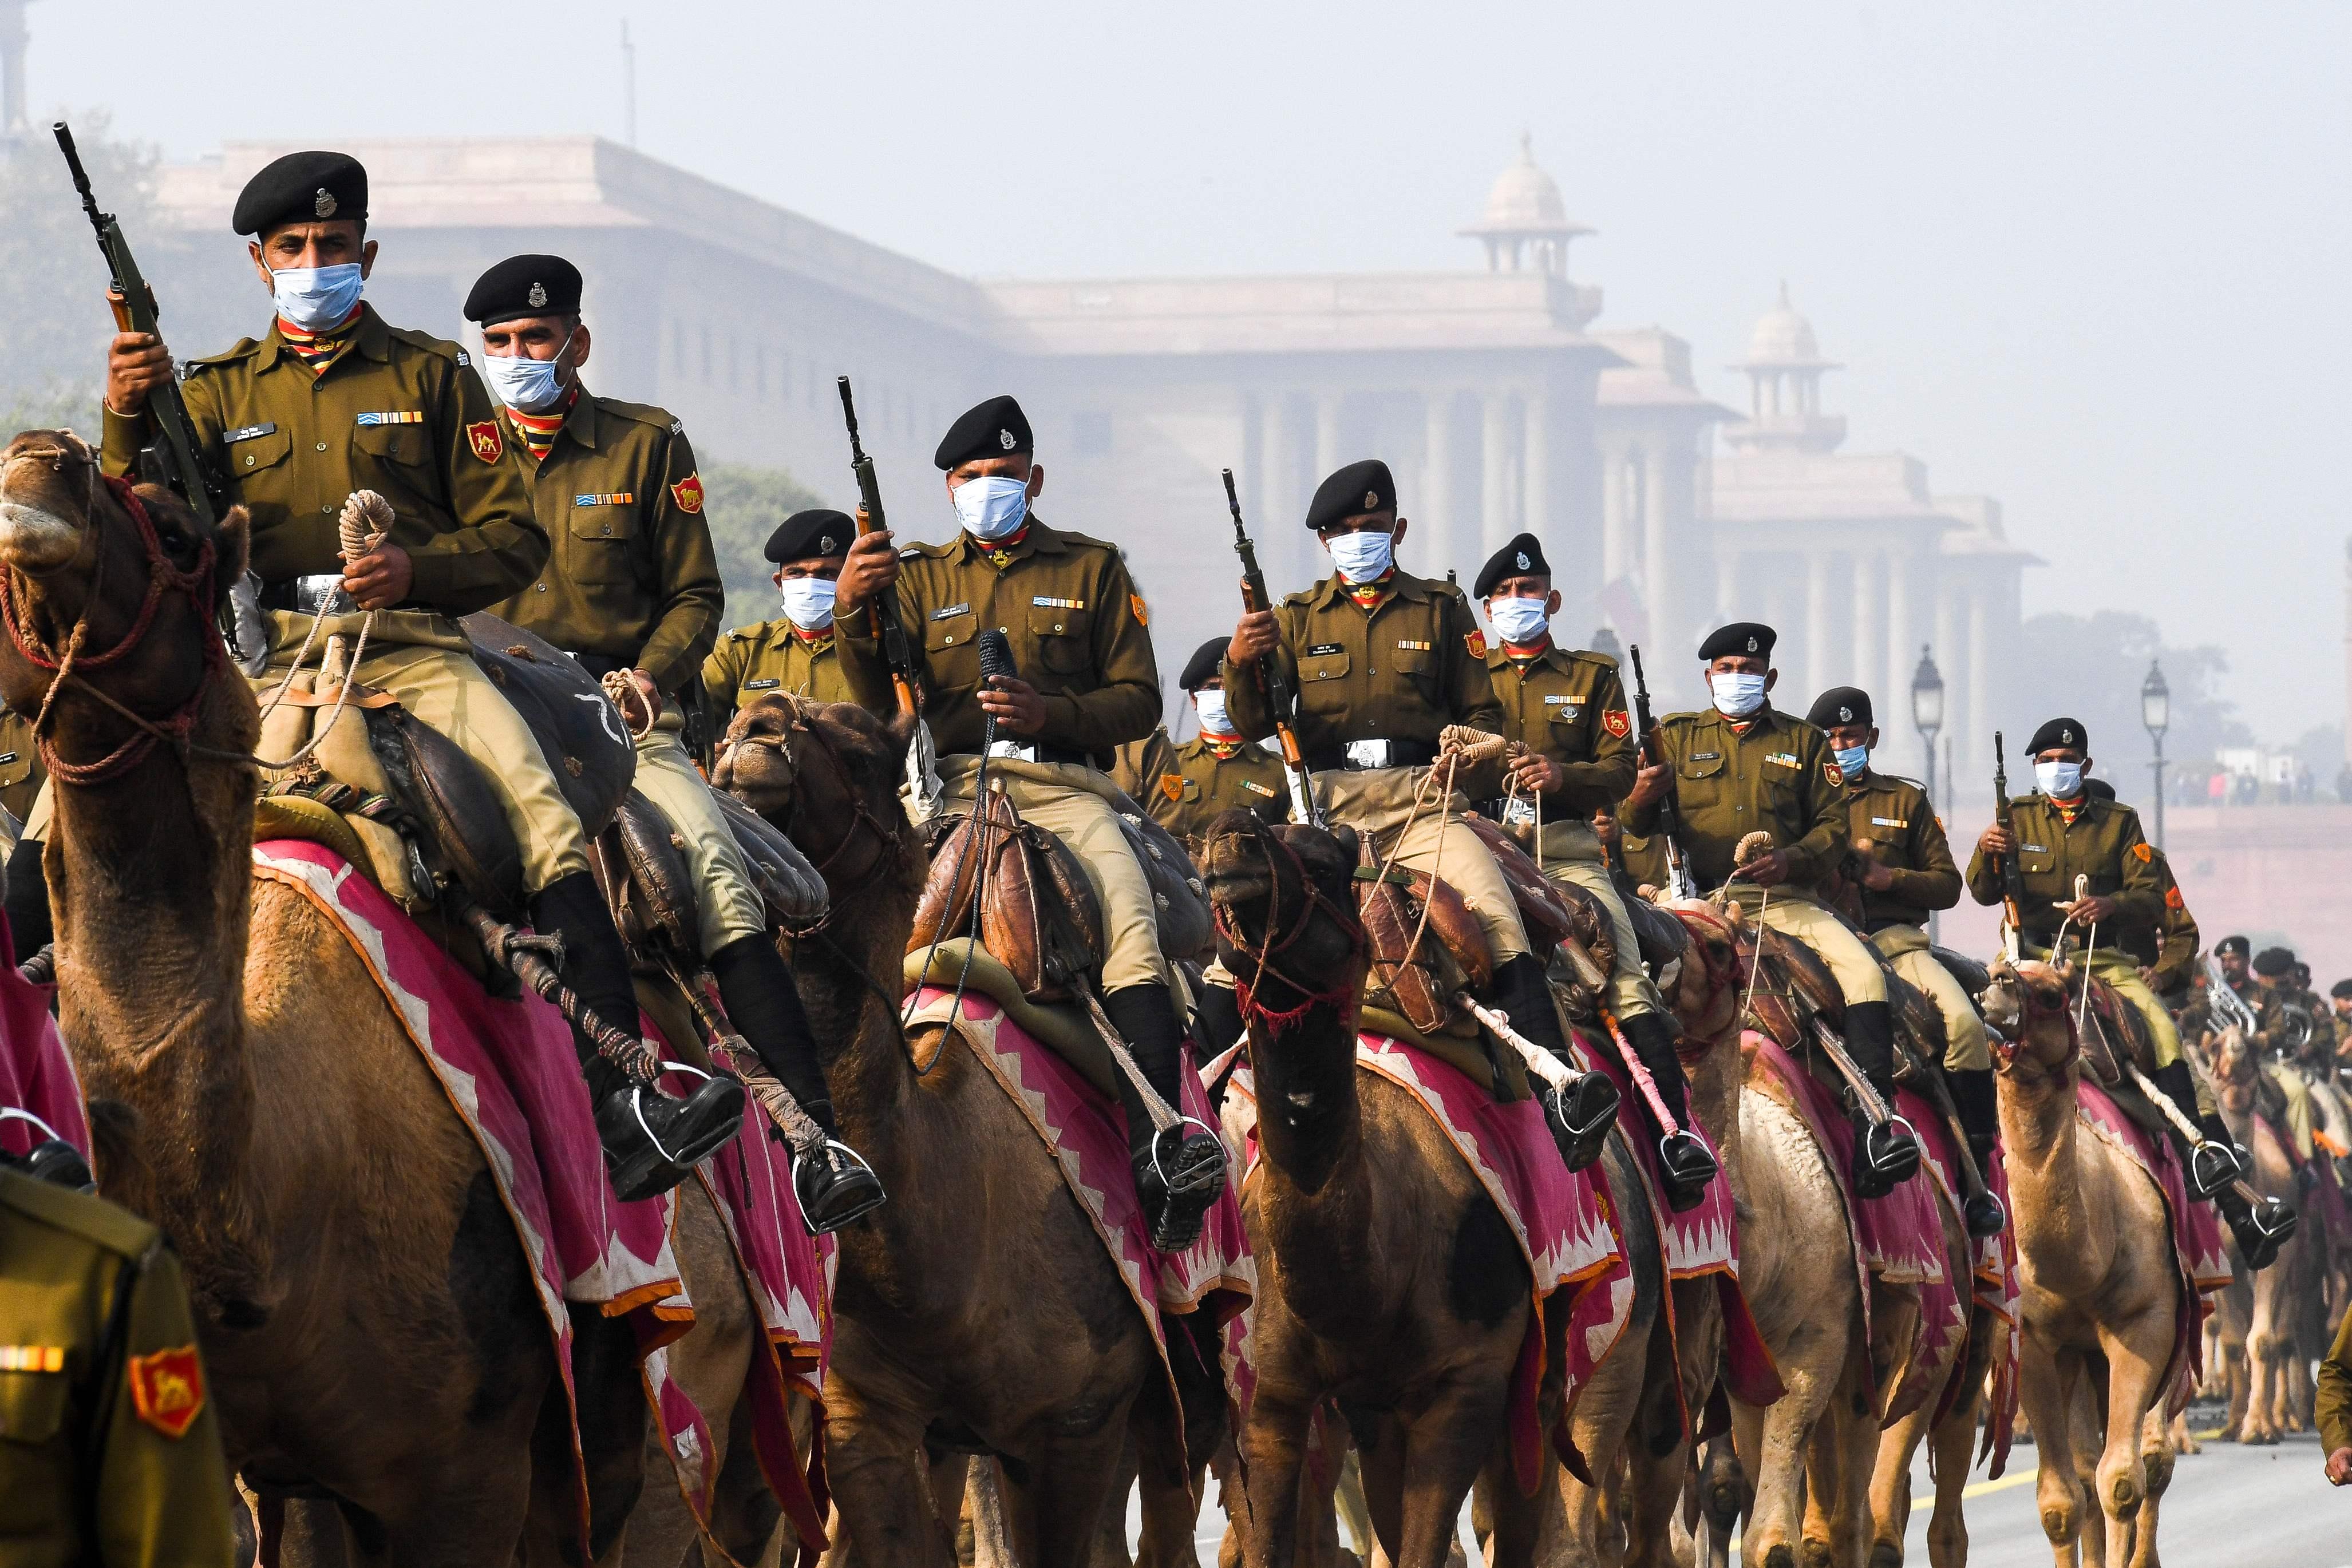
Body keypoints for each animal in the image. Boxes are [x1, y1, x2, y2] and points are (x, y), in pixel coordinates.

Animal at [1985, 964, 2183, 1568]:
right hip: (2079, 1359)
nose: (1994, 984)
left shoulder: (2145, 1324)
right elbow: (2060, 1500)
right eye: (1994, 969)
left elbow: (2122, 1481)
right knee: (2084, 1465)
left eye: (2052, 994)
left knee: (2151, 1459)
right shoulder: (2035, 1341)